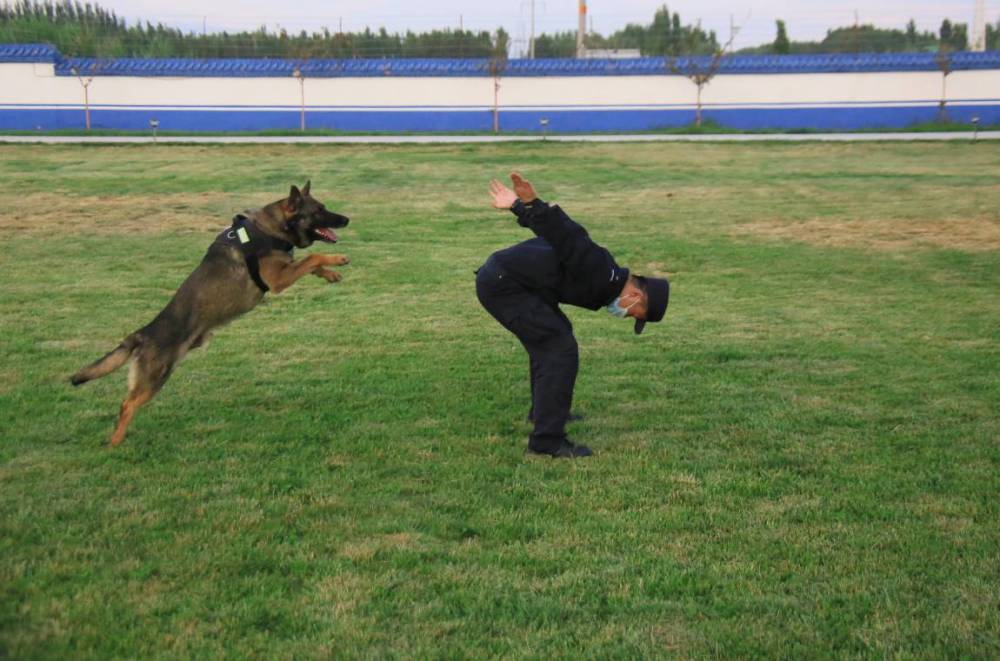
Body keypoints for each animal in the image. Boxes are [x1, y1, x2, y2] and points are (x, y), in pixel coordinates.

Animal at [72, 180, 350, 446]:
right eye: (319, 211)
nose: (347, 219)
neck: (271, 227)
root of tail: (142, 334)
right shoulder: (278, 279)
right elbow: (312, 257)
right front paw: (337, 259)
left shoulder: (286, 269)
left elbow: (310, 263)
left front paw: (330, 274)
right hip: (155, 377)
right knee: (127, 404)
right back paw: (115, 443)